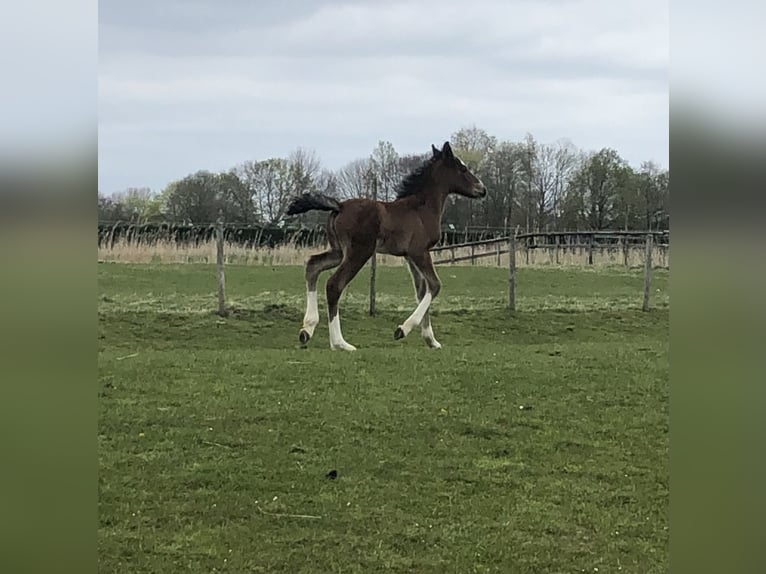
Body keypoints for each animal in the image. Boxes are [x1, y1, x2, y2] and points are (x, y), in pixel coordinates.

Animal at [285, 141, 486, 351]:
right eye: (462, 168)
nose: (482, 189)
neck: (421, 209)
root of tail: (339, 206)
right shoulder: (420, 251)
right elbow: (435, 285)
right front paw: (403, 330)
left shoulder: (409, 256)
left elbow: (421, 291)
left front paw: (431, 340)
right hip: (359, 252)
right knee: (334, 284)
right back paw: (340, 343)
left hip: (339, 251)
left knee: (313, 266)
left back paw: (307, 329)